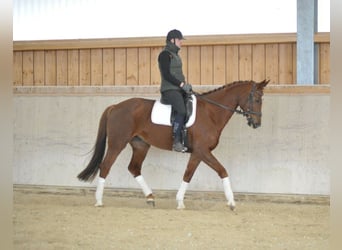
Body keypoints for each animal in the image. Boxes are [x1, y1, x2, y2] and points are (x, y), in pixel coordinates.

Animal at [78, 79, 270, 209]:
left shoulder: (198, 153)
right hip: (117, 143)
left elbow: (188, 175)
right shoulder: (202, 151)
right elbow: (221, 171)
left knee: (134, 168)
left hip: (141, 145)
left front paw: (180, 202)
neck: (211, 113)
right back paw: (99, 201)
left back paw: (150, 197)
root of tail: (116, 106)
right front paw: (231, 202)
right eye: (257, 99)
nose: (257, 124)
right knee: (105, 166)